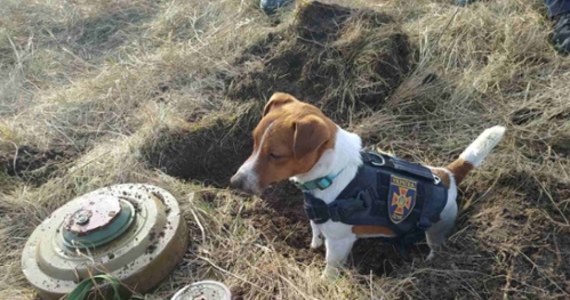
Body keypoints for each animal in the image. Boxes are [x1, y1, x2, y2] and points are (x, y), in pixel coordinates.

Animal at [229, 92, 504, 278]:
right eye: (254, 141)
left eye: (275, 155)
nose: (234, 181)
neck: (332, 173)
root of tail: (447, 174)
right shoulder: (317, 217)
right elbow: (316, 231)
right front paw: (313, 245)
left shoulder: (339, 243)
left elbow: (330, 267)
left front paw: (324, 280)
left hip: (437, 229)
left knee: (436, 246)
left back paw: (430, 262)